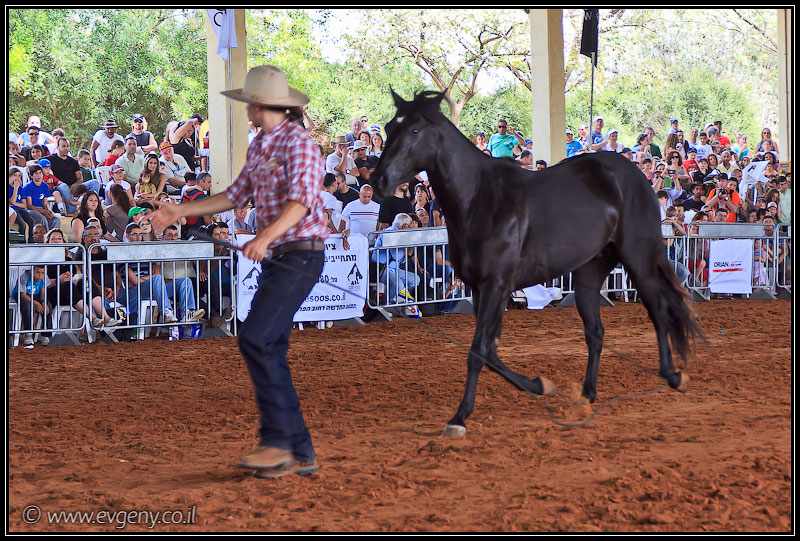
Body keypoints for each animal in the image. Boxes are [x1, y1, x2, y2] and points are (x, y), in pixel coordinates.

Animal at [370, 90, 703, 437]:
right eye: (389, 127)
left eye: (415, 130)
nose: (379, 179)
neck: (480, 199)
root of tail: (635, 175)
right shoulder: (481, 289)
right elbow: (490, 351)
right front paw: (542, 385)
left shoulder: (496, 285)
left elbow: (478, 351)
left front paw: (459, 418)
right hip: (588, 272)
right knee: (595, 331)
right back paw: (586, 396)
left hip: (638, 257)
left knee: (658, 310)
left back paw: (673, 375)